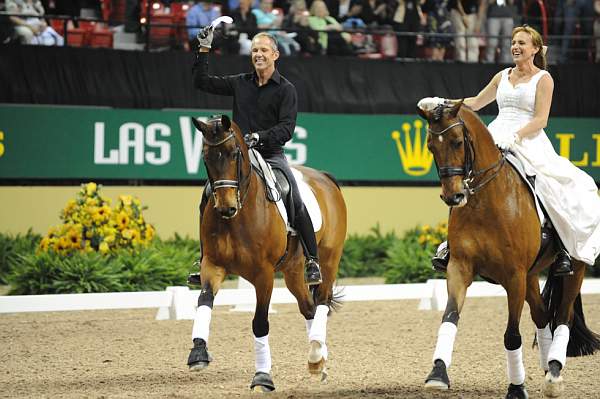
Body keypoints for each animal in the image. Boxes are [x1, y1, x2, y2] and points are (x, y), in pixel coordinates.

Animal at [186, 114, 346, 392]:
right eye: (205, 157)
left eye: (235, 154)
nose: (226, 207)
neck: (238, 216)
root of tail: (325, 178)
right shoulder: (213, 265)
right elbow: (204, 300)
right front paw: (198, 354)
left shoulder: (264, 275)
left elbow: (260, 322)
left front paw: (262, 377)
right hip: (293, 270)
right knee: (308, 308)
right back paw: (318, 359)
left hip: (328, 260)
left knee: (322, 301)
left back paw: (317, 355)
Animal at [418, 101, 600, 399]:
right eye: (431, 146)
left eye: (457, 142)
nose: (453, 196)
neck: (485, 200)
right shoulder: (460, 267)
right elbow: (450, 317)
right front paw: (437, 374)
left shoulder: (514, 276)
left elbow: (512, 335)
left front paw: (516, 388)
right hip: (531, 275)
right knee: (542, 314)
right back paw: (546, 367)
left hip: (575, 266)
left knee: (563, 316)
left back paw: (554, 374)